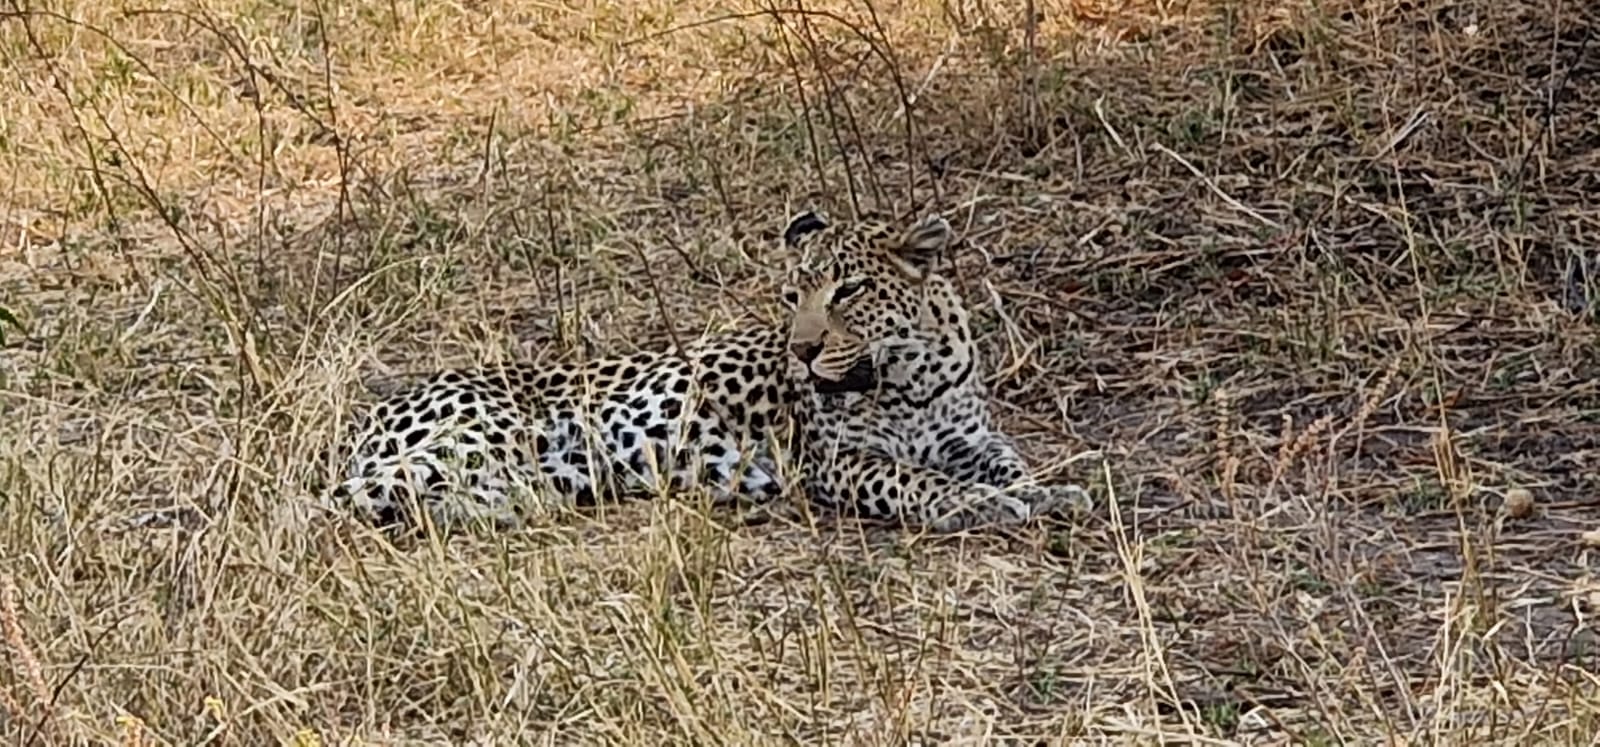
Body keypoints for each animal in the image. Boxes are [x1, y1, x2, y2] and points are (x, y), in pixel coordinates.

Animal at [317, 210, 1089, 533]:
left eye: (848, 292)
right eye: (792, 297)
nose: (803, 350)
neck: (911, 375)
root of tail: (370, 414)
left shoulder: (972, 437)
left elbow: (1010, 463)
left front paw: (1048, 491)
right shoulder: (839, 460)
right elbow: (917, 481)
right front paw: (977, 505)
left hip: (541, 473)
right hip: (481, 438)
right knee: (334, 499)